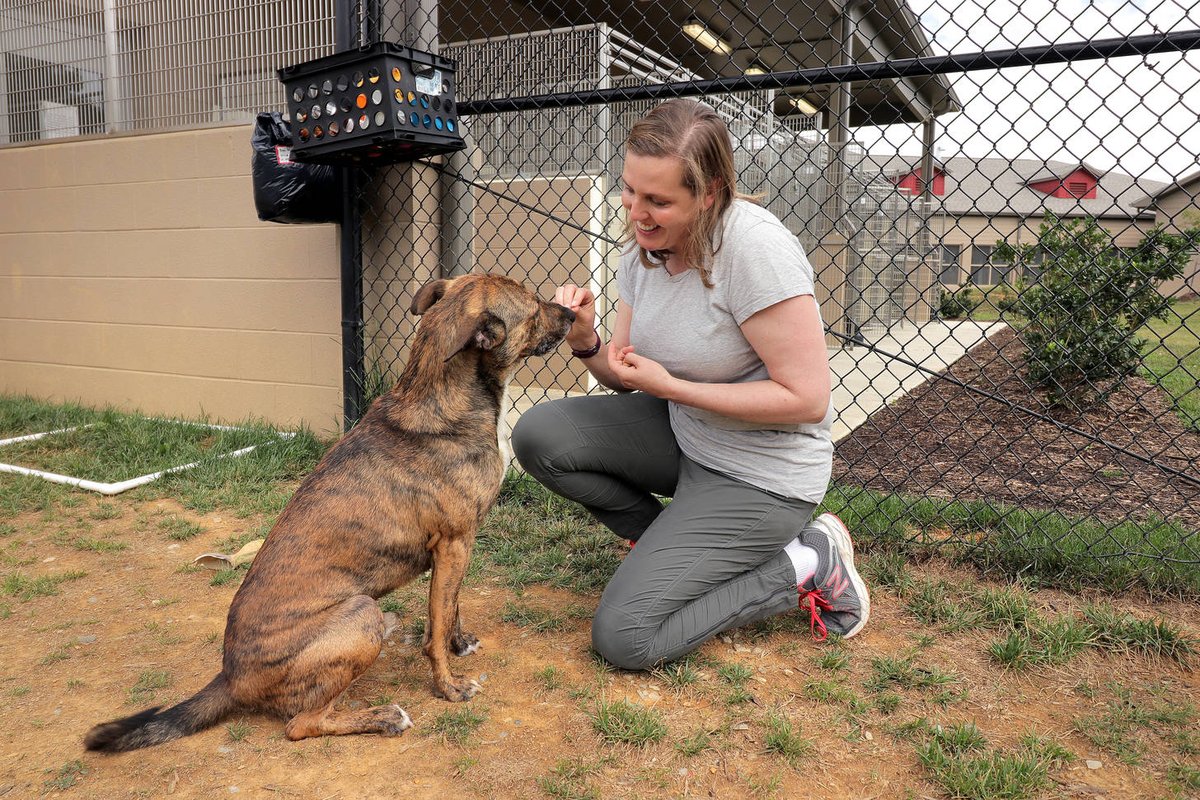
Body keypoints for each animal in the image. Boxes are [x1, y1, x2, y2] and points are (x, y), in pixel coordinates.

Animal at [84, 275, 576, 753]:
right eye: (533, 305)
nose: (573, 314)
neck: (441, 402)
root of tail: (230, 679)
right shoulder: (455, 543)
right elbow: (436, 629)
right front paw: (448, 687)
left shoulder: (456, 549)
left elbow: (450, 609)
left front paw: (460, 644)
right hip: (361, 612)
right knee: (301, 724)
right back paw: (382, 717)